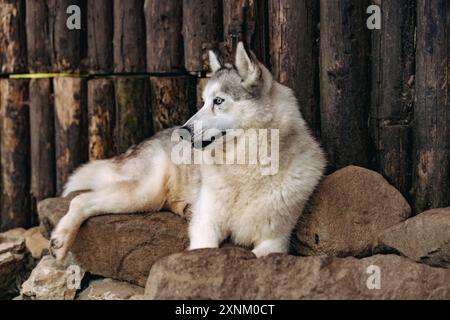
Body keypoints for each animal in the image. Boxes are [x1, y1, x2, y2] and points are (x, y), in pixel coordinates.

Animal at [49, 42, 326, 262]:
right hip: (144, 194)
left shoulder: (275, 242)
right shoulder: (206, 224)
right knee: (80, 200)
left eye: (218, 101)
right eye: (203, 102)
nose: (182, 131)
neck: (246, 166)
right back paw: (60, 242)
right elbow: (204, 249)